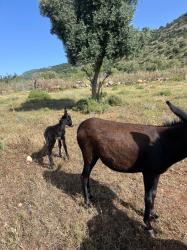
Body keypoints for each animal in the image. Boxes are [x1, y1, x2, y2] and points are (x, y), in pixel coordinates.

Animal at [77, 101, 187, 236]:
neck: (164, 143)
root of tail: (82, 124)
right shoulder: (148, 173)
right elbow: (148, 197)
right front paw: (148, 225)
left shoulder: (156, 173)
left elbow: (154, 194)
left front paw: (153, 215)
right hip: (88, 154)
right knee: (84, 176)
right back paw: (87, 203)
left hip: (95, 156)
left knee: (87, 176)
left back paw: (90, 196)